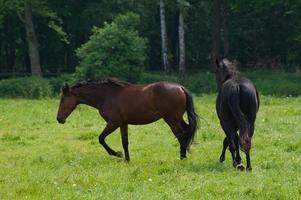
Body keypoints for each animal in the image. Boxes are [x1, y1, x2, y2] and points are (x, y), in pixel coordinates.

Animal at [56, 78, 197, 161]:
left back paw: (182, 157)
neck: (107, 96)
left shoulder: (113, 123)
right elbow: (125, 142)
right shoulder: (123, 124)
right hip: (177, 118)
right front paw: (127, 159)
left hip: (171, 119)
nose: (59, 119)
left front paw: (117, 154)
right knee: (186, 133)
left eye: (62, 100)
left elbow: (101, 138)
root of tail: (180, 88)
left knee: (181, 135)